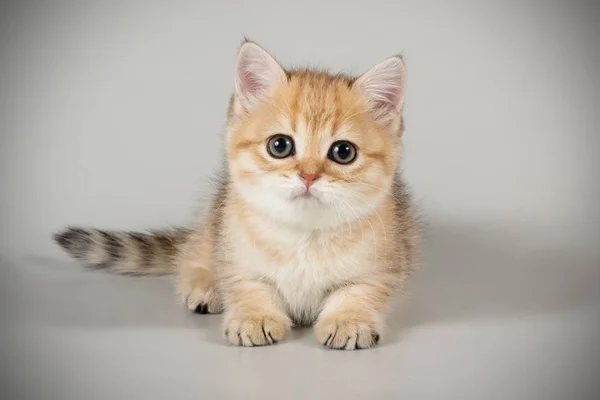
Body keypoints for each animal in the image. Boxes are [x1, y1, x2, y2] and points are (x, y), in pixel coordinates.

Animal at [54, 40, 420, 350]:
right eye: (280, 145)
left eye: (343, 152)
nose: (308, 176)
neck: (303, 235)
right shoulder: (235, 251)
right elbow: (248, 286)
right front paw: (254, 316)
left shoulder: (386, 263)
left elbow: (360, 292)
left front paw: (349, 319)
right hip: (213, 220)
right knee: (191, 253)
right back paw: (204, 285)